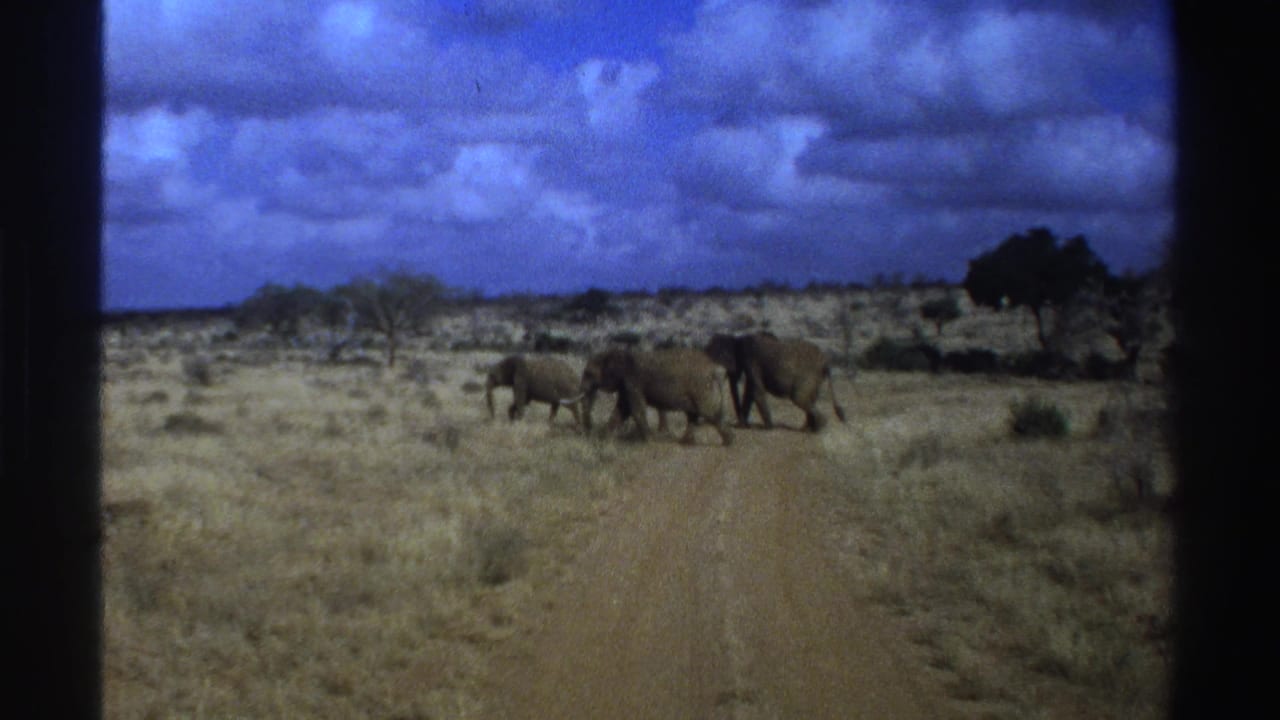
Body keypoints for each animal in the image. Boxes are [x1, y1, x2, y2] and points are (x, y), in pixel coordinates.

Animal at [567, 348, 734, 446]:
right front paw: (603, 438)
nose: (587, 433)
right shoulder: (626, 384)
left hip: (702, 387)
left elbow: (635, 409)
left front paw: (650, 441)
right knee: (693, 416)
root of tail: (715, 368)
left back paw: (729, 442)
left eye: (589, 374)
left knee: (709, 413)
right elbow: (622, 410)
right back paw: (685, 443)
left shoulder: (633, 381)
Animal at [703, 333, 847, 432]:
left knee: (799, 398)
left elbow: (756, 391)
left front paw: (768, 427)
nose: (740, 424)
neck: (738, 340)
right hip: (816, 379)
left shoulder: (751, 359)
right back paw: (807, 428)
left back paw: (817, 428)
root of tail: (826, 362)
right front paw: (744, 426)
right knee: (809, 399)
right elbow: (750, 392)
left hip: (809, 376)